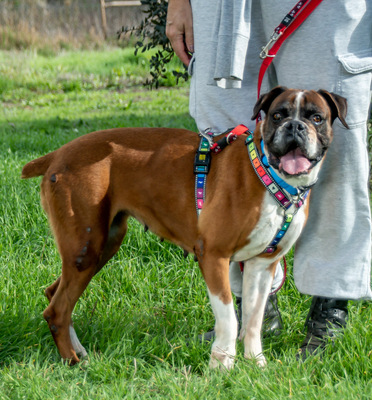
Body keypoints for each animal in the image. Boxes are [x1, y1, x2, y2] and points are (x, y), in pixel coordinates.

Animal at [21, 86, 348, 368]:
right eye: (278, 115)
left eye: (316, 118)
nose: (295, 127)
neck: (270, 176)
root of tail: (59, 153)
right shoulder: (214, 257)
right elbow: (229, 318)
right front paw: (221, 366)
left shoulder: (262, 265)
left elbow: (253, 321)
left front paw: (256, 364)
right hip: (85, 249)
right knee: (57, 310)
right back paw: (73, 362)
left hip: (102, 246)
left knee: (54, 294)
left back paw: (79, 351)